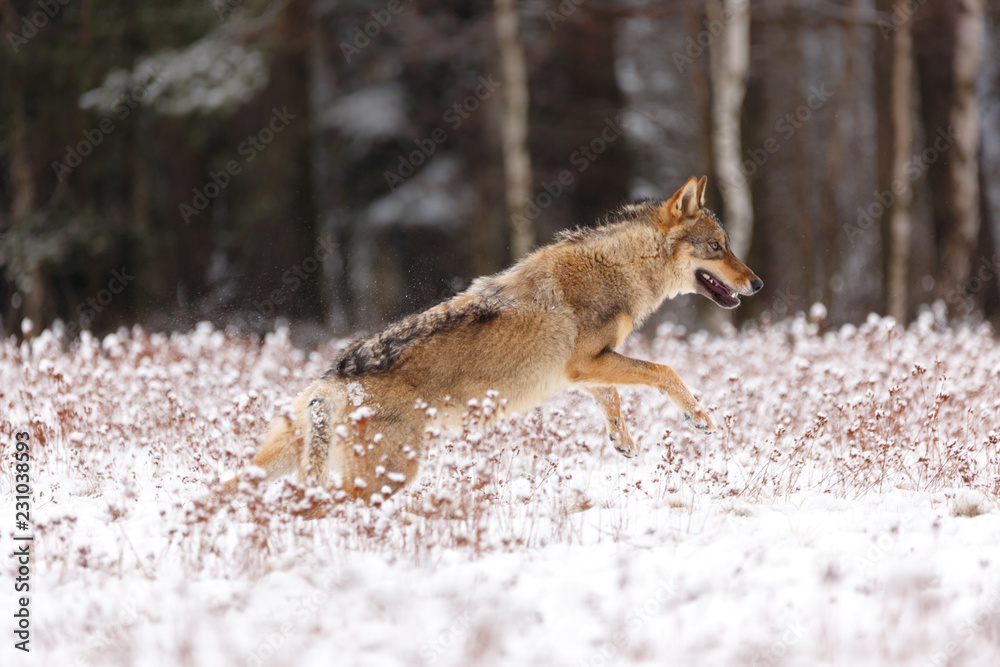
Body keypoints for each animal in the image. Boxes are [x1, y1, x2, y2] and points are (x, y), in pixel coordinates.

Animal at [222, 176, 762, 503]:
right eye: (718, 247)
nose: (756, 283)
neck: (620, 269)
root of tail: (330, 382)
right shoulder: (588, 362)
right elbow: (664, 372)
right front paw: (700, 418)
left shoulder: (579, 370)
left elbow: (611, 396)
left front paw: (622, 440)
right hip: (383, 477)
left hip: (279, 462)